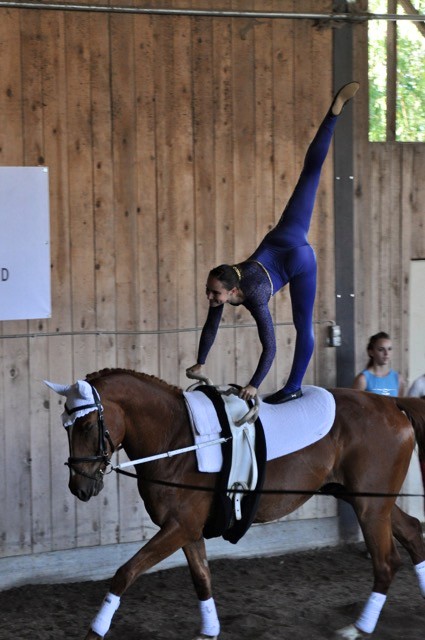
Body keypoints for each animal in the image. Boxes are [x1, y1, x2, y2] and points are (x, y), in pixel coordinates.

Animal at [44, 370, 425, 640]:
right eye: (64, 427)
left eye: (88, 425)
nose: (79, 486)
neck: (178, 438)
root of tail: (392, 404)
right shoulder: (188, 530)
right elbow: (202, 578)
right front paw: (209, 632)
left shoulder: (178, 527)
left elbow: (125, 572)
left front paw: (95, 631)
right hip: (363, 498)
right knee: (412, 532)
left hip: (369, 506)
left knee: (387, 562)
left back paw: (358, 628)